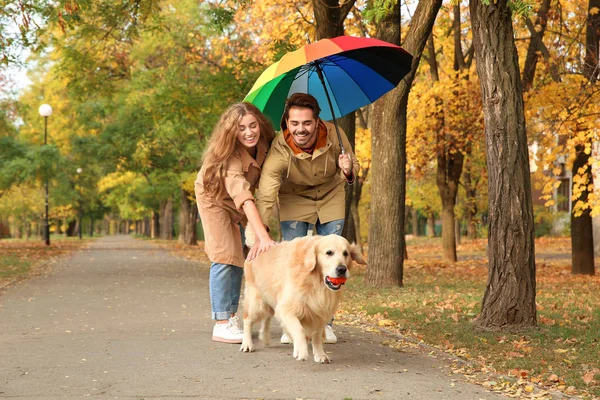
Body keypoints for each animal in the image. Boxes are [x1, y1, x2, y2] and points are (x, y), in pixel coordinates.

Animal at [239, 234, 366, 362]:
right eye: (329, 252)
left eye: (346, 253)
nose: (342, 269)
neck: (315, 282)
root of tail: (256, 245)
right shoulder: (287, 308)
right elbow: (299, 329)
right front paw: (301, 350)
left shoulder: (319, 313)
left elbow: (317, 336)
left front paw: (320, 355)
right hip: (256, 302)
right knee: (247, 321)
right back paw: (247, 344)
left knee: (267, 317)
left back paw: (264, 337)